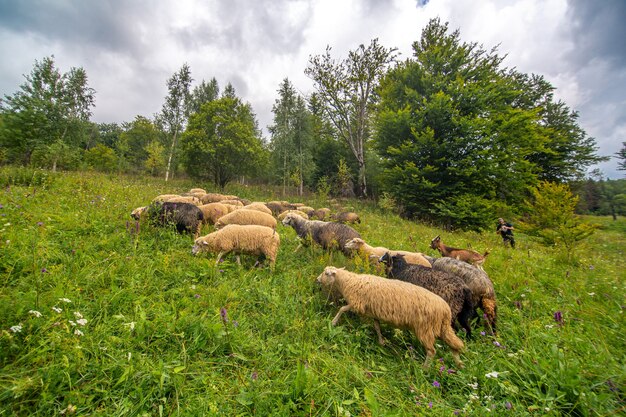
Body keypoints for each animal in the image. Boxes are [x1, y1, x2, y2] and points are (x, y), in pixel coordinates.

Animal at [316, 266, 464, 368]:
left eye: (326, 273)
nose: (317, 280)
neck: (349, 281)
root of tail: (446, 310)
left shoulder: (357, 304)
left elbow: (342, 309)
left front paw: (333, 322)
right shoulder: (372, 312)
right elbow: (376, 326)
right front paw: (381, 341)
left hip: (425, 328)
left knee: (432, 351)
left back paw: (425, 369)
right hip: (442, 328)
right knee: (455, 344)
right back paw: (459, 365)